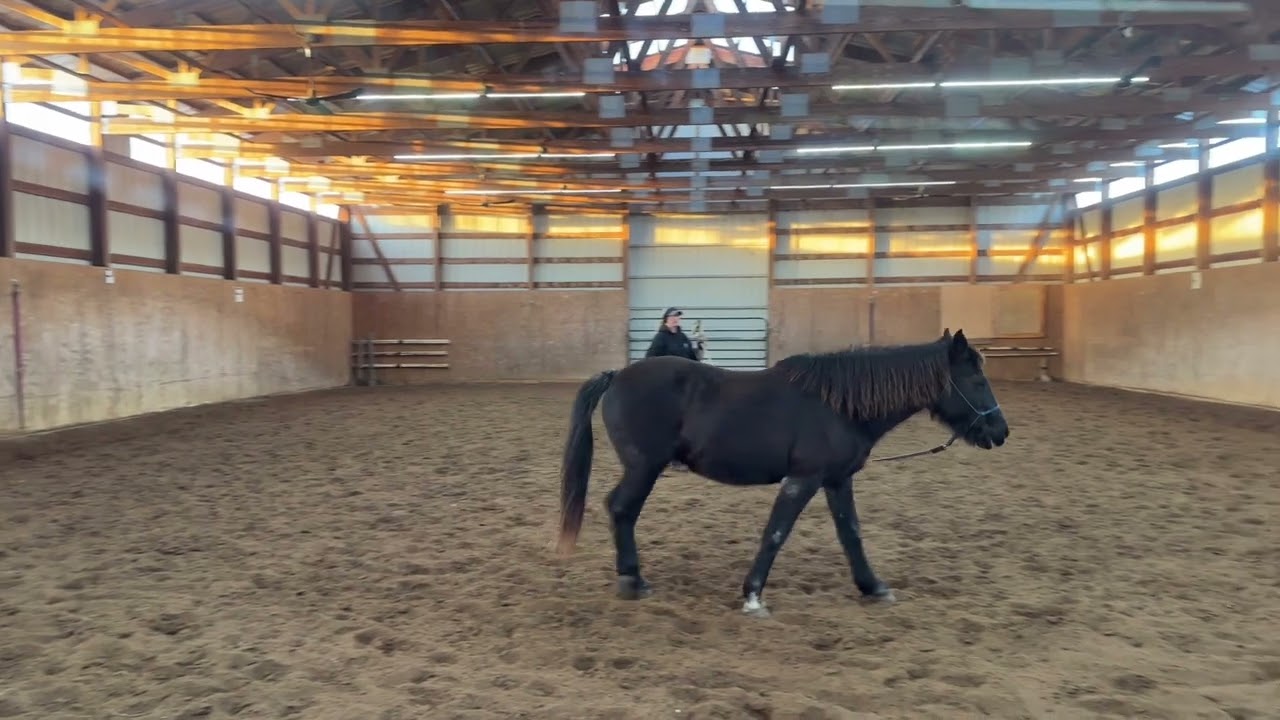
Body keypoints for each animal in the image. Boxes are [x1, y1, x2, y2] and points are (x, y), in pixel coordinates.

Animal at [553, 328, 1008, 617]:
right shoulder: (803, 479)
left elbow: (851, 534)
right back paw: (632, 580)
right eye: (977, 380)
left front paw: (873, 586)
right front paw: (753, 597)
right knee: (621, 509)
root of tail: (618, 376)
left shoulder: (836, 480)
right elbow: (775, 533)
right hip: (644, 467)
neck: (839, 406)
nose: (1000, 432)